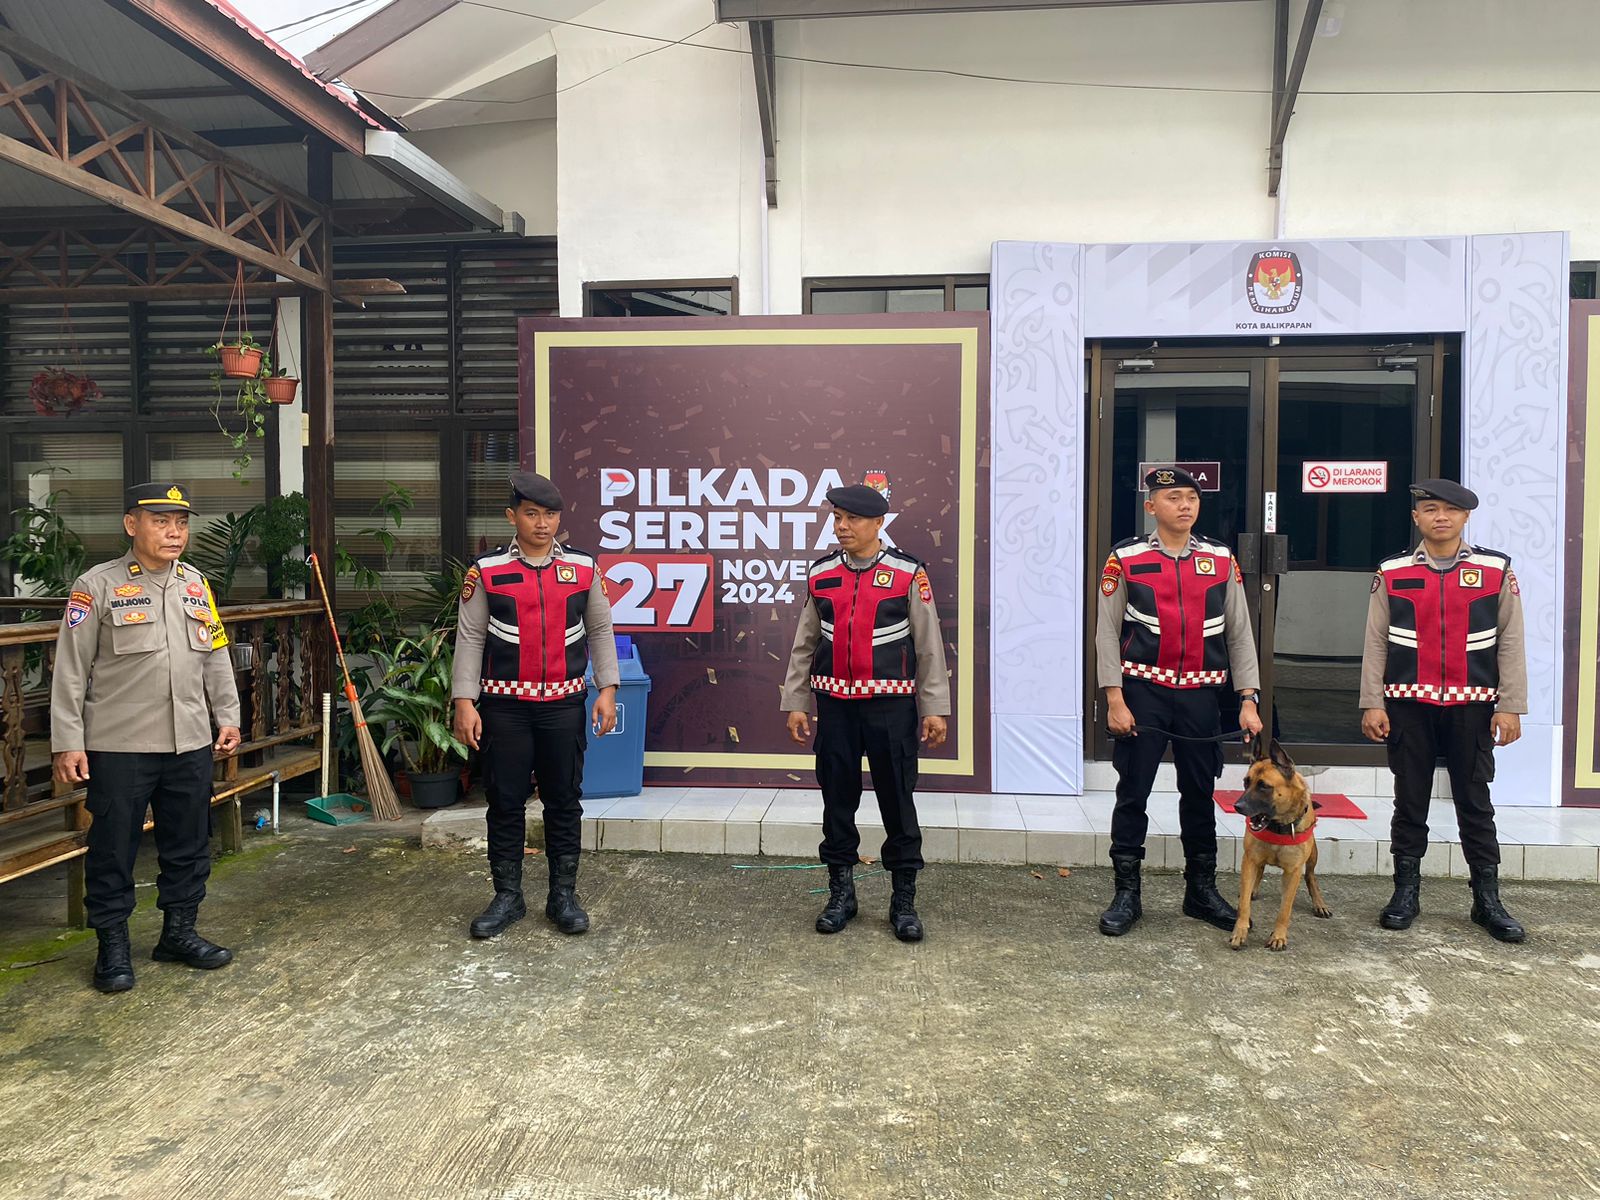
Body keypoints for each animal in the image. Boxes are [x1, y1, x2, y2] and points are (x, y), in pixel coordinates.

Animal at [1228, 739, 1331, 953]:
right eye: (1246, 782)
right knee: (1258, 873)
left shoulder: (1293, 872)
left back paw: (1319, 903)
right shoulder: (1249, 860)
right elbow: (1244, 906)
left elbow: (1285, 909)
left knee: (1310, 876)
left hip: (1312, 855)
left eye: (1264, 786)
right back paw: (1252, 890)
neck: (1279, 825)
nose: (1237, 806)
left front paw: (1278, 937)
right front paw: (1240, 932)